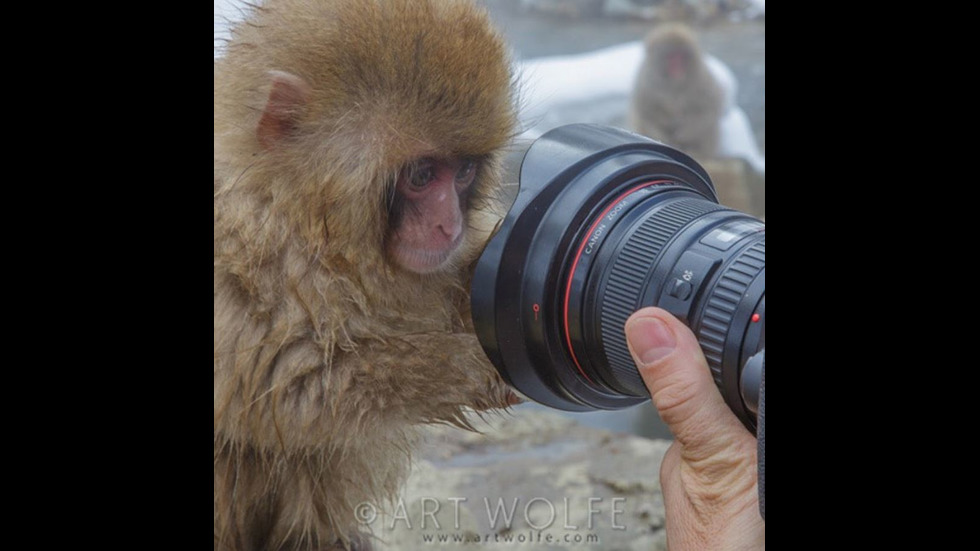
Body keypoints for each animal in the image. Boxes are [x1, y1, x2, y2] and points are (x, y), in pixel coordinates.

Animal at [214, 2, 520, 548]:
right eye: (422, 175)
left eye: (463, 172)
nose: (449, 225)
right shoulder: (238, 245)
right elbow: (287, 385)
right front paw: (476, 367)